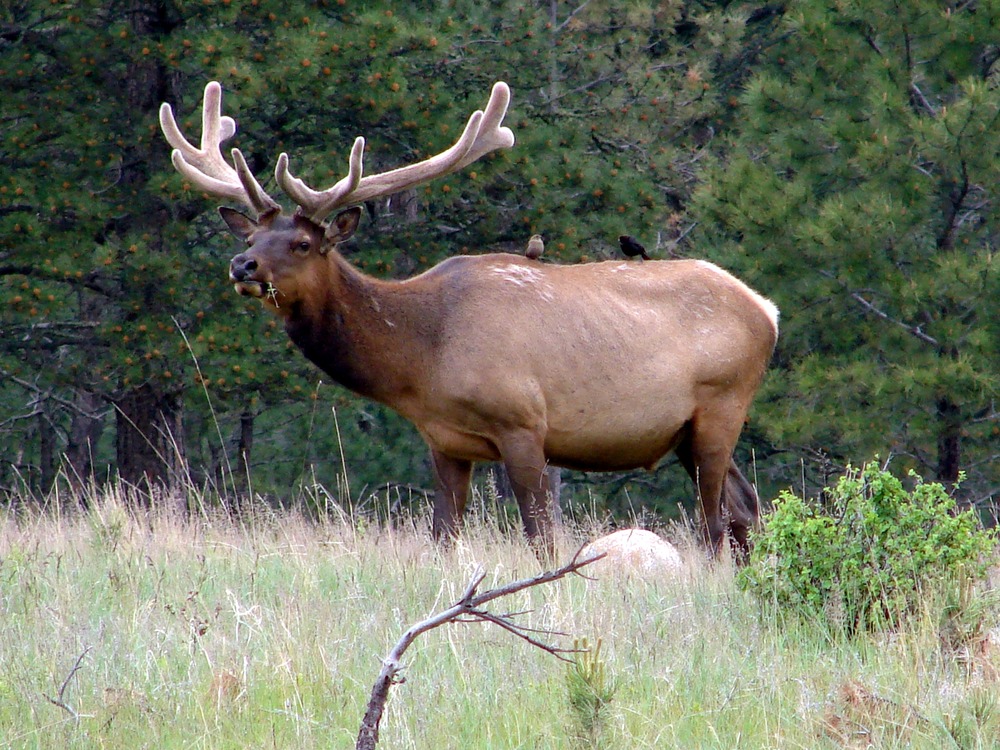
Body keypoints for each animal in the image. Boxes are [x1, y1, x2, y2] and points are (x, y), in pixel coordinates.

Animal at [159, 80, 779, 559]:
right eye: (252, 238)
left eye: (304, 243)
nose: (242, 265)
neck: (422, 359)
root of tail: (767, 310)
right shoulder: (445, 442)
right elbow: (443, 537)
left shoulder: (523, 422)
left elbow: (540, 538)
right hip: (684, 433)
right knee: (744, 508)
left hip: (722, 405)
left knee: (715, 521)